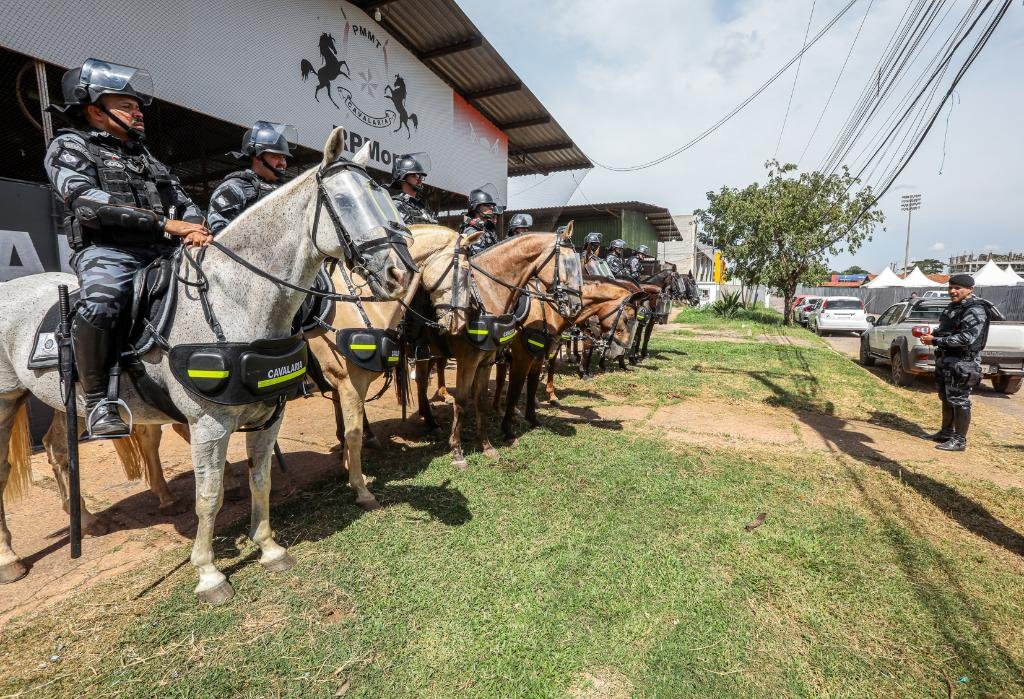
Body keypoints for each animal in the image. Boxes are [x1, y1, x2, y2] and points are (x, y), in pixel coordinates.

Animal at [2, 126, 415, 605]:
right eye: (345, 200)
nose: (399, 273)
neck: (235, 299)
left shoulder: (269, 414)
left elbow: (261, 479)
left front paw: (269, 548)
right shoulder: (210, 423)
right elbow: (209, 495)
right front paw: (209, 573)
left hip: (63, 399)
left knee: (58, 449)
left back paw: (86, 520)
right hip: (9, 399)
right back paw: (10, 558)